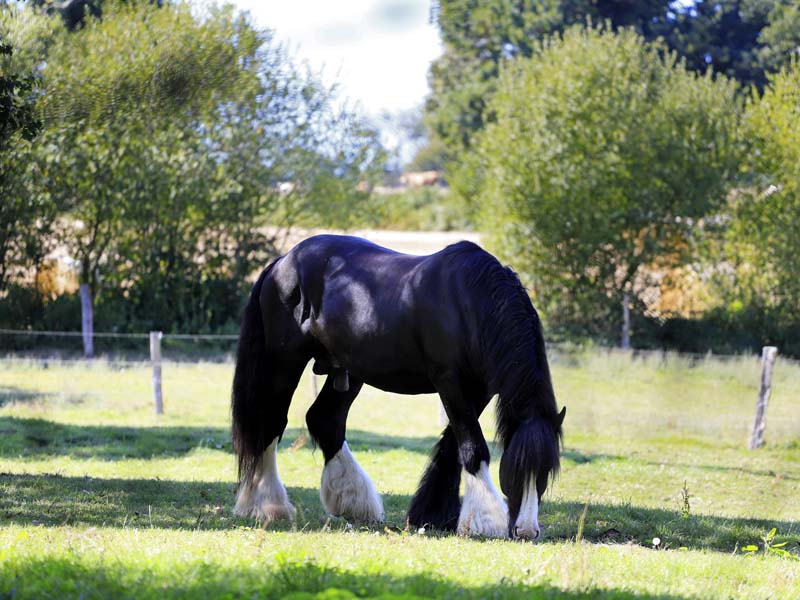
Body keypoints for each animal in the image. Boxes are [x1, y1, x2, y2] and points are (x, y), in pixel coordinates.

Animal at [231, 234, 565, 540]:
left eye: (546, 472)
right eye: (514, 471)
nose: (526, 531)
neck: (470, 301)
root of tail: (282, 262)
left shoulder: (478, 388)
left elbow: (452, 445)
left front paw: (432, 515)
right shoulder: (450, 380)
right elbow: (472, 445)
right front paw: (486, 520)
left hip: (348, 371)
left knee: (325, 420)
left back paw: (355, 502)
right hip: (285, 362)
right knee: (271, 424)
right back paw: (267, 505)